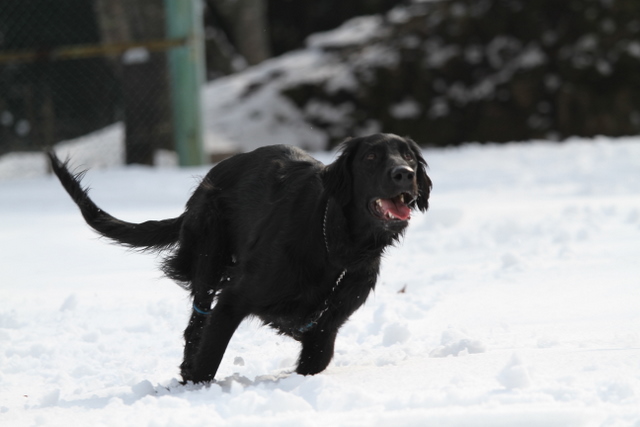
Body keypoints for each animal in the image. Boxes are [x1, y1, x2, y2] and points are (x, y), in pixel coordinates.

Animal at [47, 133, 432, 384]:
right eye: (370, 158)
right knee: (196, 323)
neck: (336, 247)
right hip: (209, 254)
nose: (404, 174)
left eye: (410, 157)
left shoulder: (327, 324)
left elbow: (317, 356)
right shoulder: (235, 297)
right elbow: (209, 355)